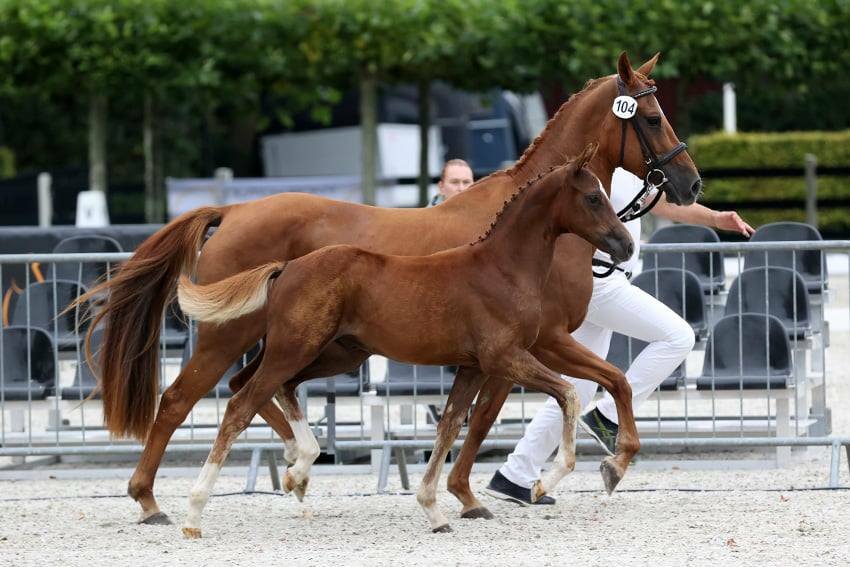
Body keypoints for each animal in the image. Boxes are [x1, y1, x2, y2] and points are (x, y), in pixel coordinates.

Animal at [175, 144, 633, 537]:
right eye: (593, 197)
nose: (626, 245)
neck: (501, 268)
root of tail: (286, 267)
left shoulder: (473, 366)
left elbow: (449, 425)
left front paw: (434, 509)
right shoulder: (504, 357)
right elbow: (567, 394)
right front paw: (545, 483)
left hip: (331, 354)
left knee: (279, 389)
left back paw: (298, 470)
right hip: (294, 349)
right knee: (239, 405)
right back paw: (194, 512)